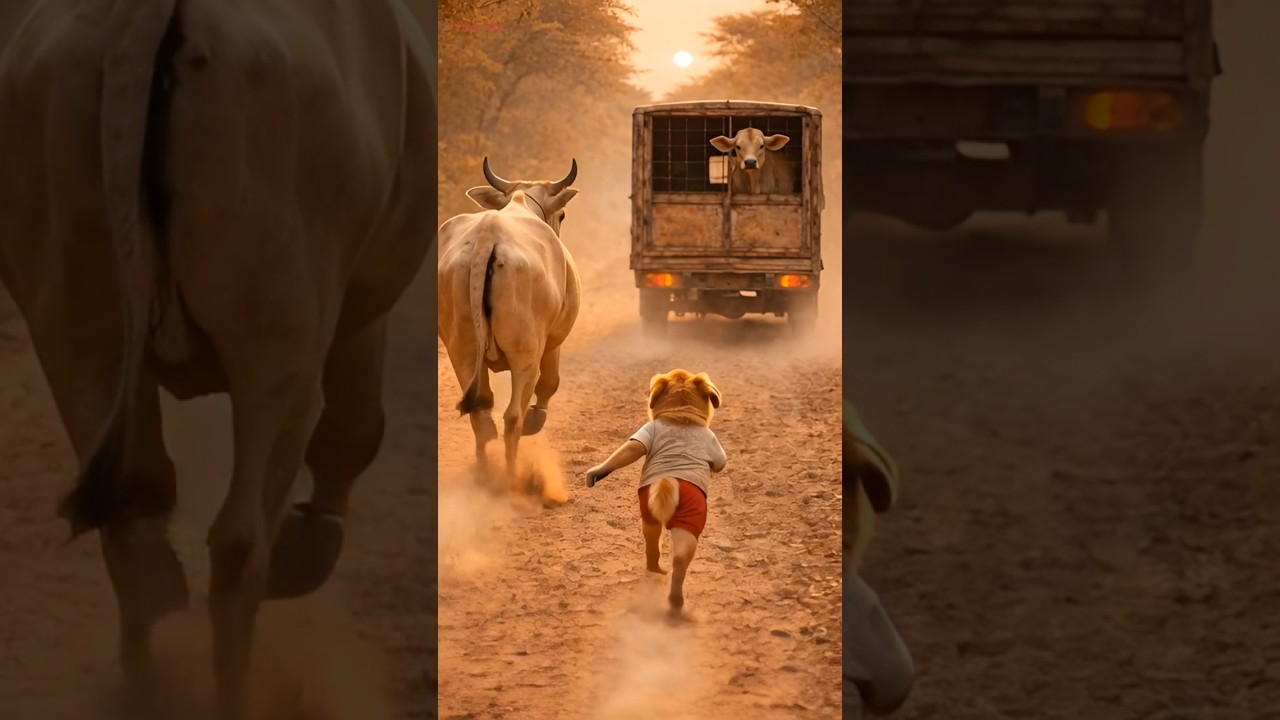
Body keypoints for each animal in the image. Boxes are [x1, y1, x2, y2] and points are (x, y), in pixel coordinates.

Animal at [0, 0, 435, 717]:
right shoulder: (357, 304)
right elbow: (355, 431)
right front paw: (308, 545)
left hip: (76, 325)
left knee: (133, 526)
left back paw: (147, 690)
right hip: (280, 344)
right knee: (238, 541)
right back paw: (238, 686)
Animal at [438, 158, 582, 482]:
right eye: (562, 214)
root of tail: (489, 233)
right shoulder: (552, 342)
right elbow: (549, 384)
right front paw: (535, 419)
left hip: (462, 350)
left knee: (480, 412)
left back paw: (484, 472)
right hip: (525, 353)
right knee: (512, 416)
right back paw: (512, 476)